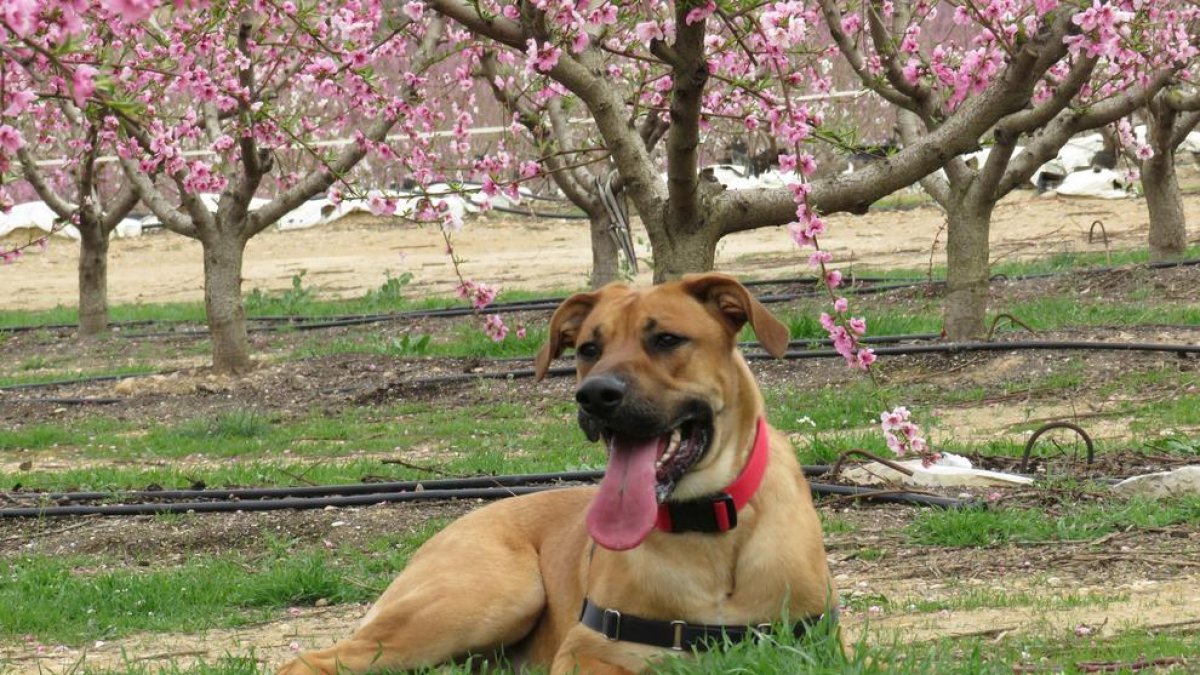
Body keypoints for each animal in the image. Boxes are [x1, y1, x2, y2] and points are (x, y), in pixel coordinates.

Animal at [278, 270, 844, 667]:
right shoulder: (586, 650)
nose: (594, 395)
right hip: (489, 595)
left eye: (665, 340)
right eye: (589, 348)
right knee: (311, 663)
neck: (707, 532)